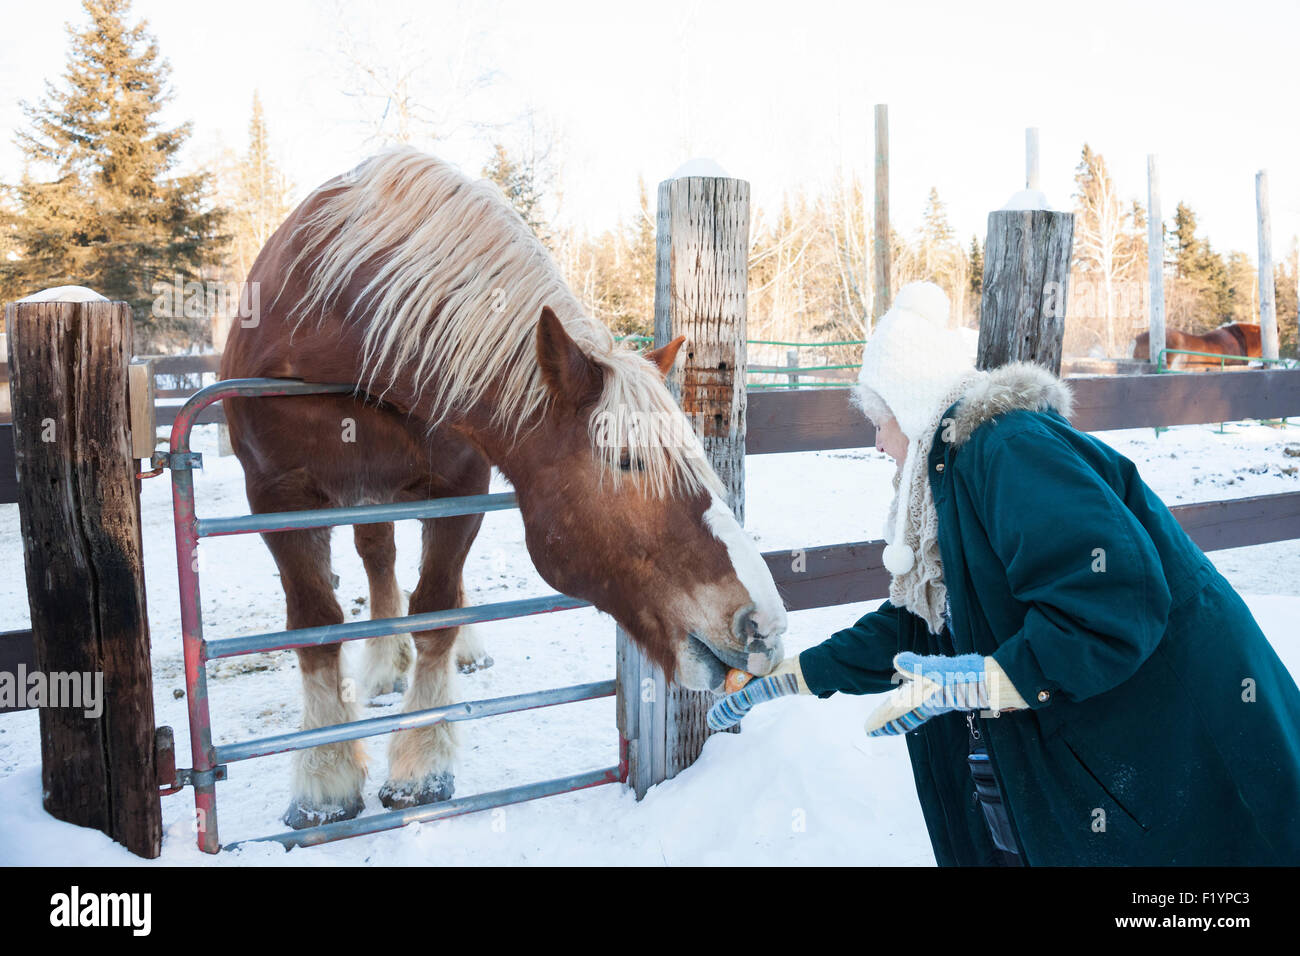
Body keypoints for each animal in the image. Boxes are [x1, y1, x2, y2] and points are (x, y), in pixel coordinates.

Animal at [219, 149, 785, 832]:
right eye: (627, 460)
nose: (763, 626)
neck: (338, 325)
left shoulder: (462, 484)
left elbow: (436, 609)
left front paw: (421, 767)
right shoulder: (275, 497)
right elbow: (315, 625)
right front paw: (324, 782)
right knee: (377, 559)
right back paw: (382, 668)